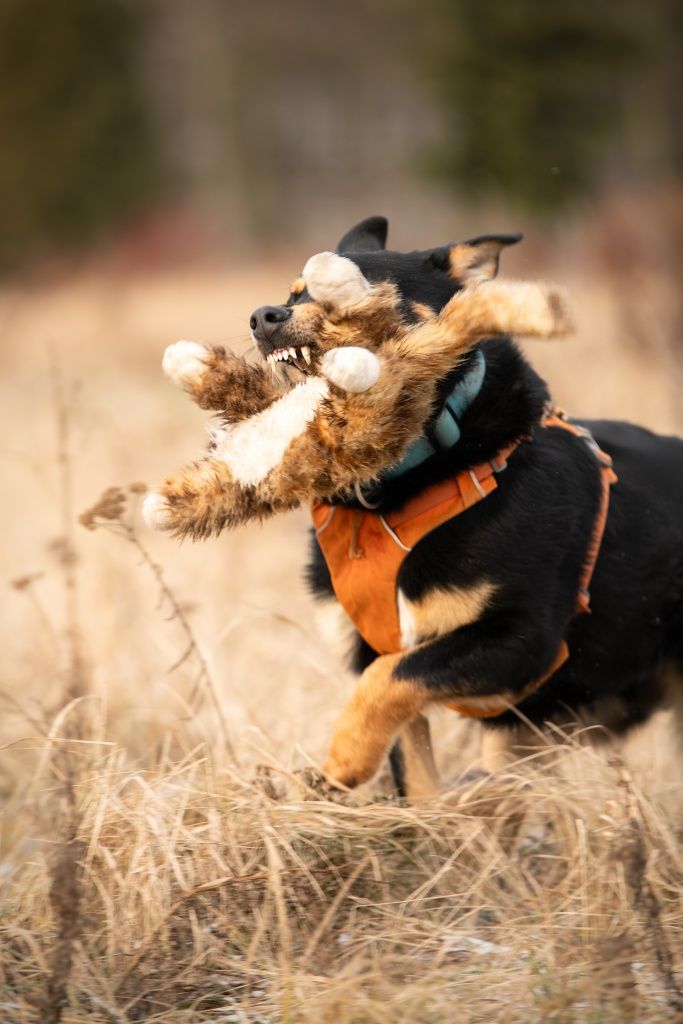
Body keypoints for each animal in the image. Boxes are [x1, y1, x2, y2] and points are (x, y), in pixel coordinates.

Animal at [145, 218, 683, 798]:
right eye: (292, 294)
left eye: (350, 290)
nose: (264, 316)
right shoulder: (379, 645)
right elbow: (412, 760)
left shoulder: (522, 640)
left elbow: (387, 682)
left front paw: (343, 762)